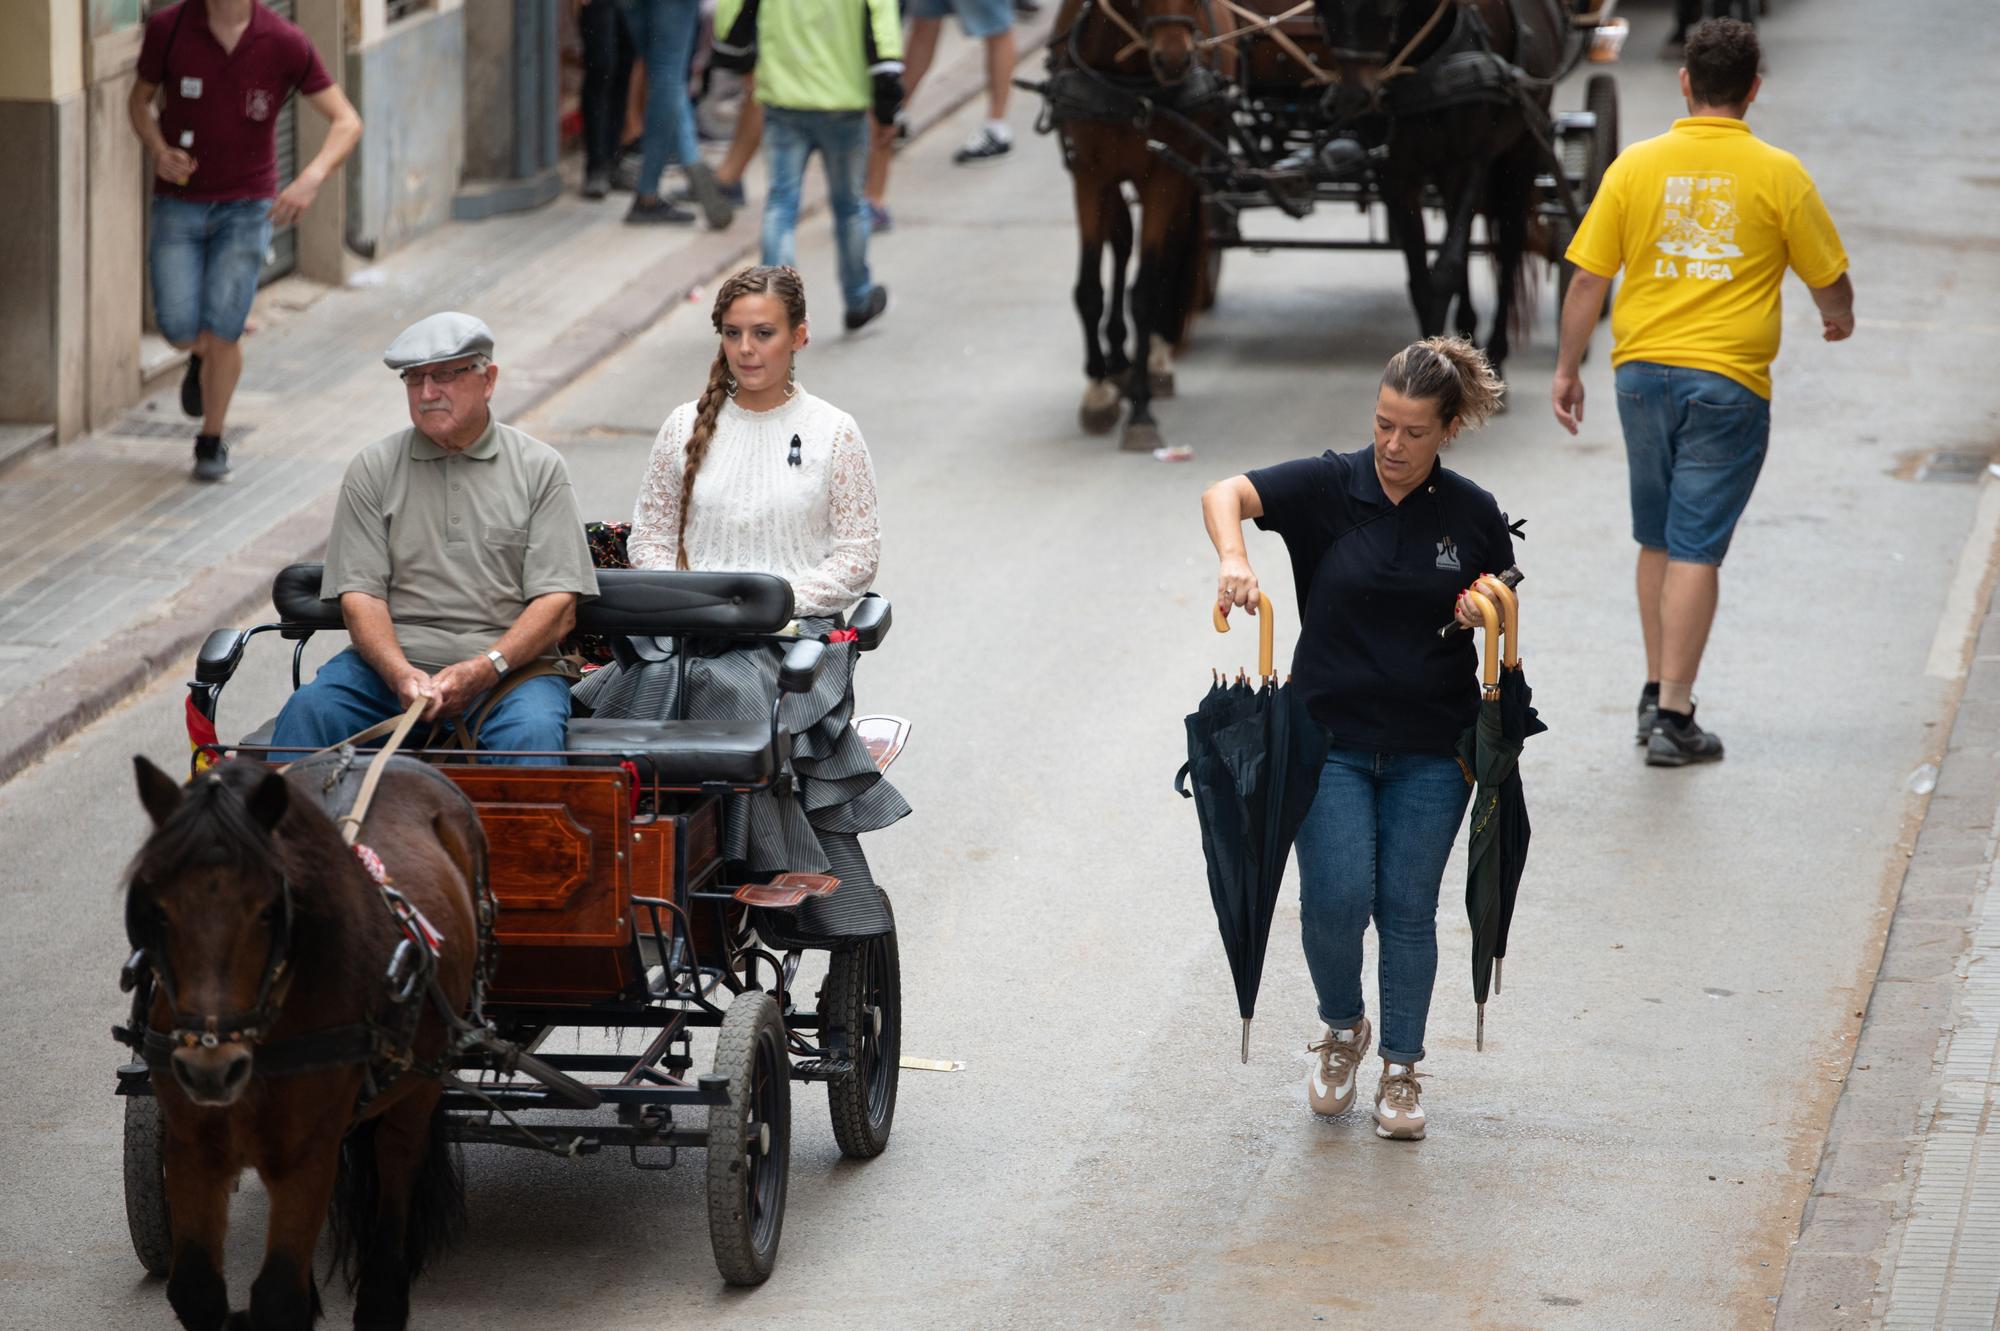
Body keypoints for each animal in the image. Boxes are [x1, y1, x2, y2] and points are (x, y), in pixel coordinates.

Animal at [128, 755, 484, 1327]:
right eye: (157, 907)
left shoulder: (305, 1157)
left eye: (269, 909)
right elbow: (197, 1290)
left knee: (397, 1156)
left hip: (421, 1079)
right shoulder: (192, 1148)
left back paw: (384, 1298)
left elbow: (278, 1298)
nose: (211, 1068)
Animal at [1048, 0, 1232, 451]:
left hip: (1187, 164)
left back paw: (1157, 355)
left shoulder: (1161, 176)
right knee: (1121, 244)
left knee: (1170, 245)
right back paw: (1118, 360)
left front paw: (1141, 410)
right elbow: (1089, 289)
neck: (1131, 85)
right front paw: (1097, 394)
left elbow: (1145, 291)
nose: (1175, 59)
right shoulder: (1090, 174)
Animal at [1312, 0, 1576, 383]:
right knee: (1463, 244)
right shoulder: (1395, 173)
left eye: (1386, 5)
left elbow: (1446, 270)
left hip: (1523, 144)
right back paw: (1468, 336)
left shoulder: (1470, 161)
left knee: (1509, 245)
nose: (1352, 98)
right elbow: (1422, 277)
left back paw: (1496, 353)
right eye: (1320, 8)